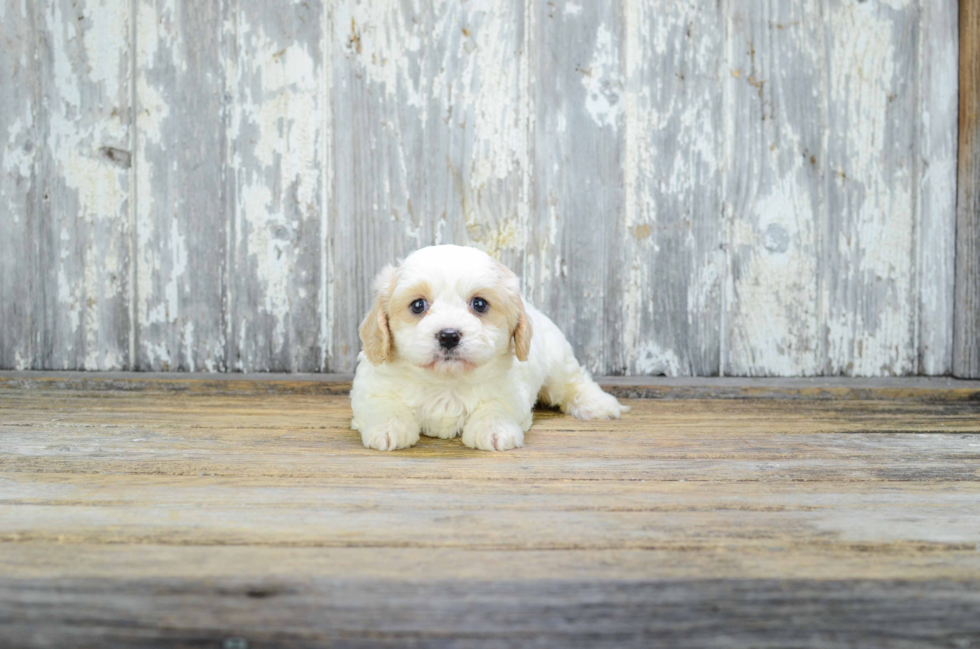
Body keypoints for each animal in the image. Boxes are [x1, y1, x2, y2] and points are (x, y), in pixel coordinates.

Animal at [352, 243, 624, 450]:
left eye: (479, 304)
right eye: (418, 305)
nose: (448, 336)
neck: (446, 383)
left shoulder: (511, 392)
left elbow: (496, 406)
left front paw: (494, 430)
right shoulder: (370, 389)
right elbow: (384, 404)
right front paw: (388, 428)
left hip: (558, 362)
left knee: (574, 383)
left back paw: (598, 404)